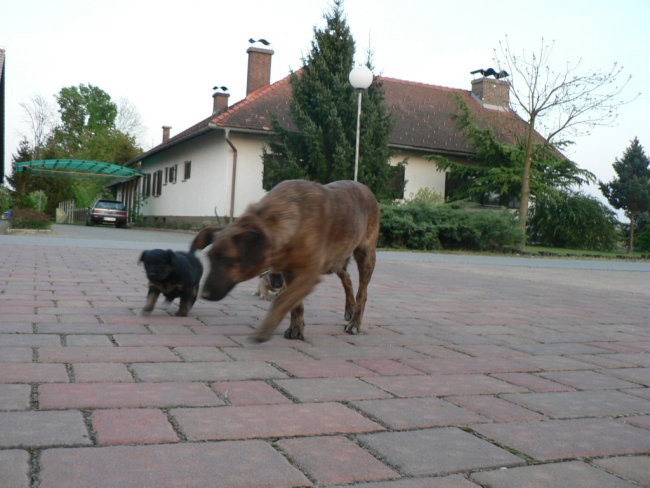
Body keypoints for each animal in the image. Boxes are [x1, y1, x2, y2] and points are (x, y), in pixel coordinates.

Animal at [200, 177, 378, 342]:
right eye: (209, 258)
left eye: (227, 259)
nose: (204, 295)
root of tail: (366, 188)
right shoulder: (290, 272)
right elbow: (295, 304)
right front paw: (296, 329)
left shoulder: (309, 274)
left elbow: (283, 300)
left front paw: (265, 329)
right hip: (336, 260)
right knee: (347, 279)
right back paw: (349, 309)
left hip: (365, 255)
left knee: (362, 293)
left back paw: (355, 323)